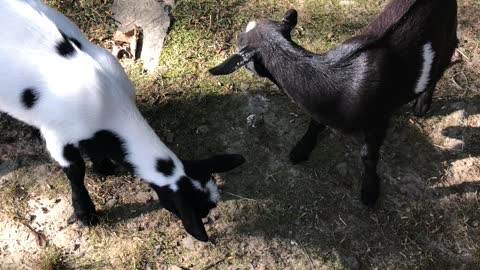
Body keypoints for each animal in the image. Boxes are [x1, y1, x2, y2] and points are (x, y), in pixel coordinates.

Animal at [0, 0, 244, 240]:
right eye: (200, 209)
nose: (206, 220)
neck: (107, 104)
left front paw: (103, 166)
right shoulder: (59, 137)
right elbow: (76, 172)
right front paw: (86, 213)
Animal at [209, 0, 458, 206]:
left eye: (239, 42)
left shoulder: (378, 119)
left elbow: (368, 156)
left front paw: (369, 191)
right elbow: (315, 123)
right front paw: (301, 149)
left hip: (447, 32)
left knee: (444, 58)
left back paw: (422, 103)